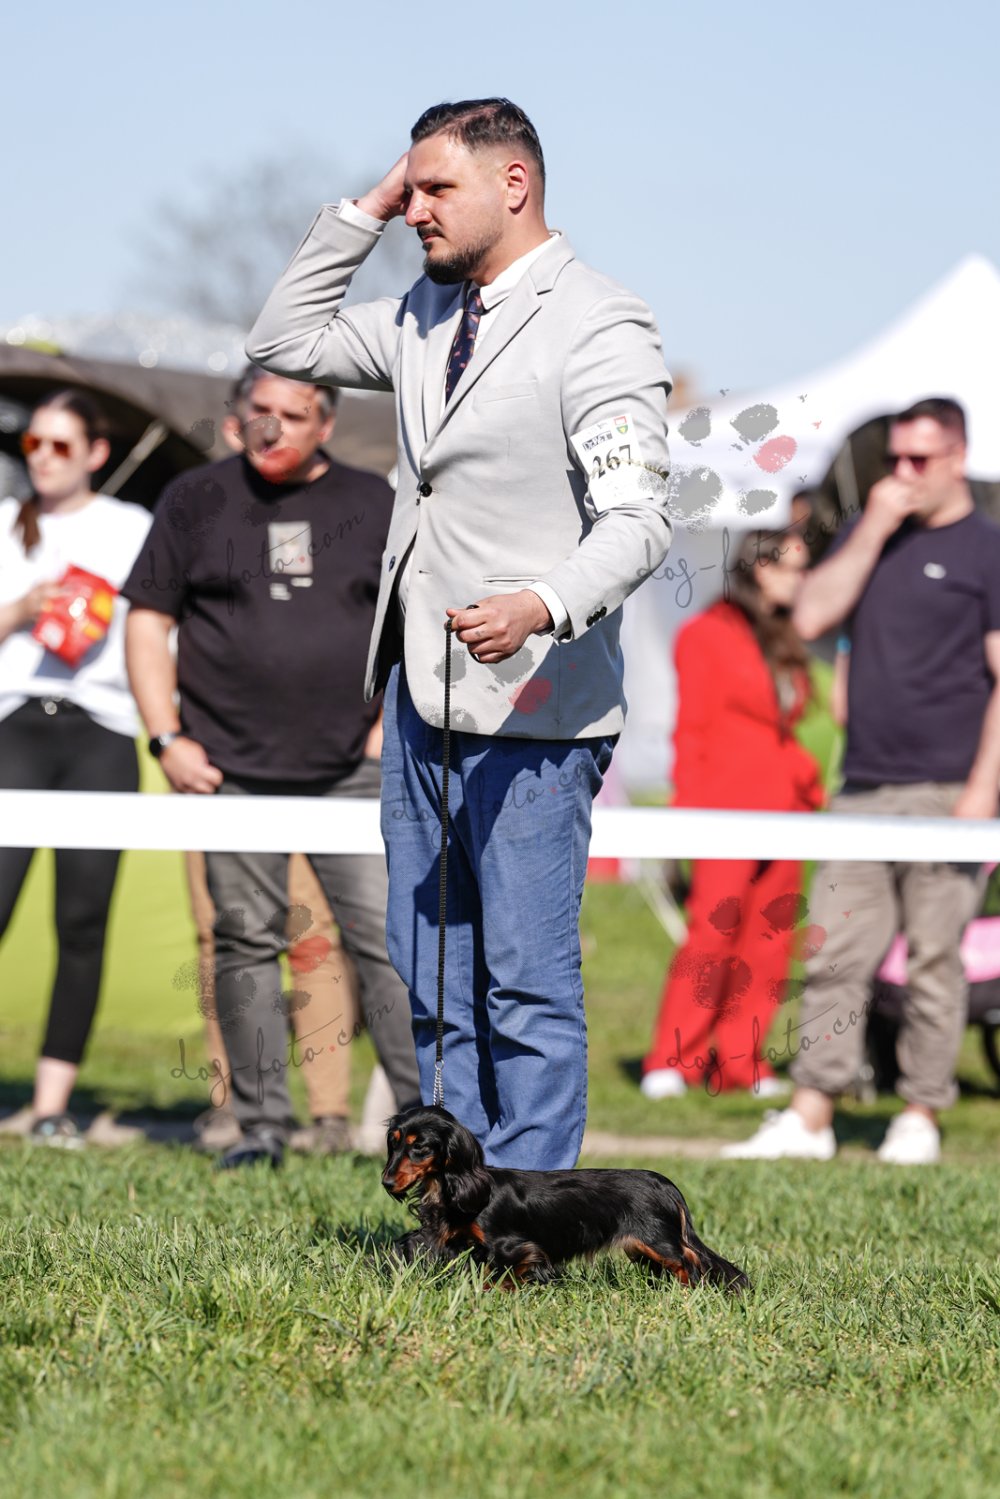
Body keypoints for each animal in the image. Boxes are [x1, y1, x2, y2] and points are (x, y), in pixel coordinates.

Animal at [382, 1104, 750, 1292]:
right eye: (394, 1142)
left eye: (420, 1146)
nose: (386, 1182)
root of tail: (665, 1184)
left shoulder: (514, 1247)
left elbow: (494, 1277)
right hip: (642, 1247)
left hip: (658, 1241)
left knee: (693, 1262)